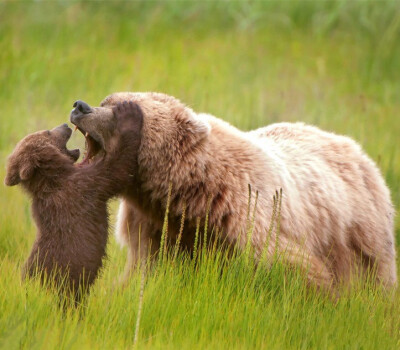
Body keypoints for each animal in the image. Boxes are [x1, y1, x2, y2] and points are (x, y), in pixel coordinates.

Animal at [69, 92, 396, 290]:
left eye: (119, 109)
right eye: (107, 99)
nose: (80, 106)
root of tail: (356, 148)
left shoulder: (246, 216)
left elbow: (291, 267)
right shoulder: (155, 225)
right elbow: (145, 270)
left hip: (359, 229)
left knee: (375, 276)